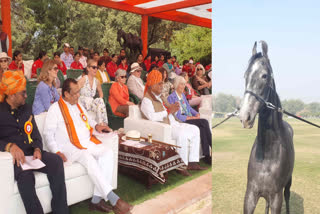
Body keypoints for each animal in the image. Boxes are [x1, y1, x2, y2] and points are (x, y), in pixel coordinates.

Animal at [240, 41, 296, 213]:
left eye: (264, 75)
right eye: (245, 76)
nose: (245, 117)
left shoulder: (276, 197)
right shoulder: (250, 195)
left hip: (288, 183)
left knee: (288, 196)